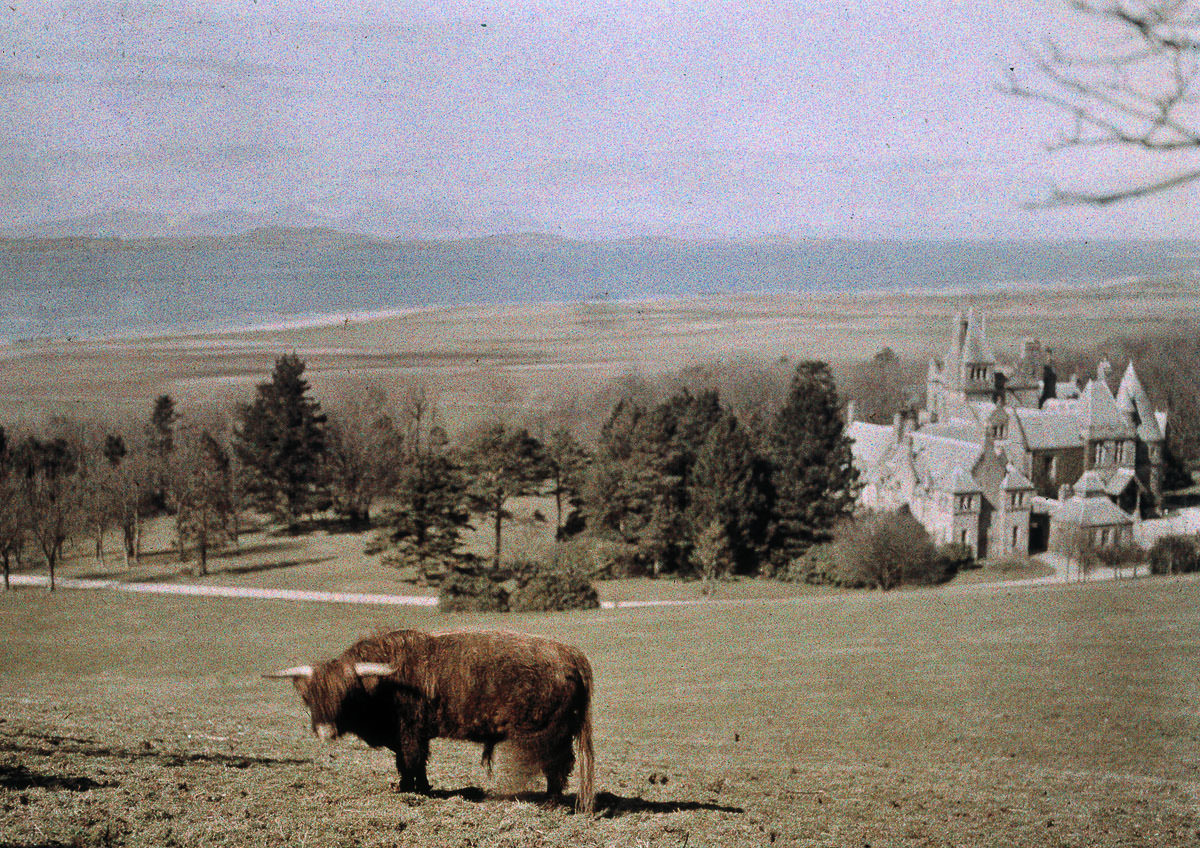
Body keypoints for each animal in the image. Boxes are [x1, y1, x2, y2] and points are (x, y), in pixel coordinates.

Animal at [267, 628, 595, 815]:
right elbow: (412, 762)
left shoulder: (410, 730)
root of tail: (570, 654)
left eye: (346, 693)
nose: (325, 730)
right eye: (309, 696)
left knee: (556, 766)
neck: (383, 686)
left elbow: (410, 760)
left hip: (550, 733)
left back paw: (550, 801)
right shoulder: (408, 734)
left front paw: (412, 790)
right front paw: (414, 787)